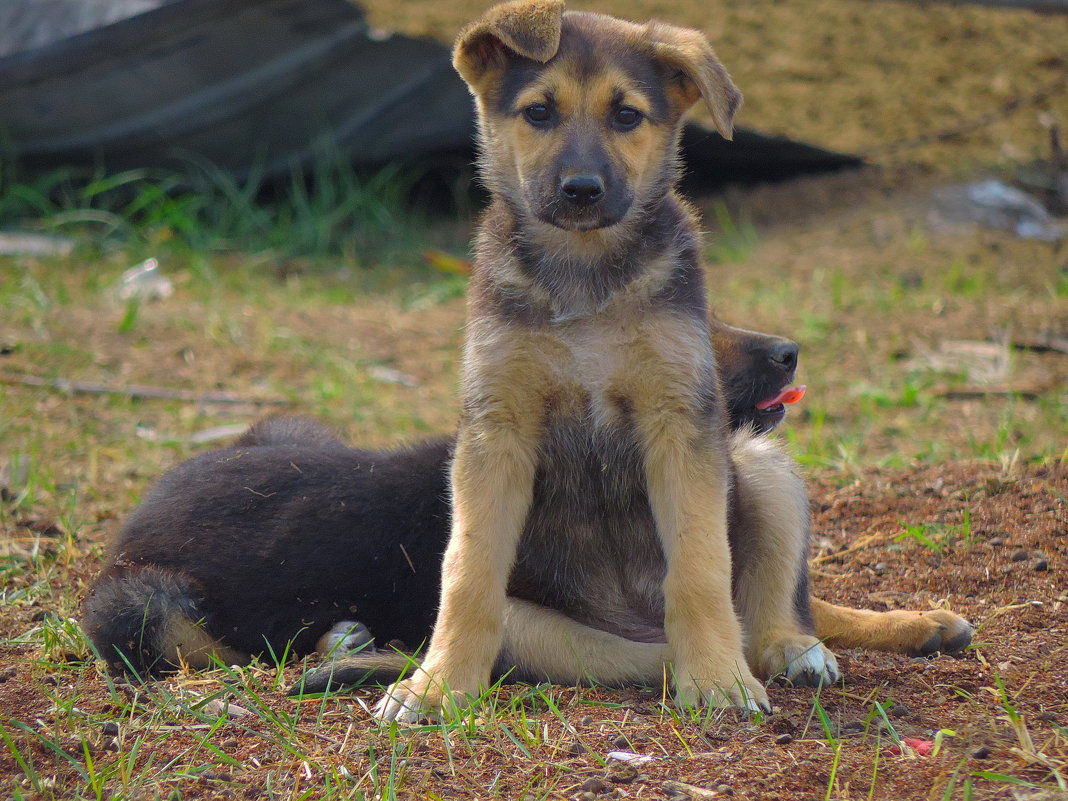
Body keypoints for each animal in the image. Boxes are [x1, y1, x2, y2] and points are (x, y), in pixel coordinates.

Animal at [375, 1, 786, 721]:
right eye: (539, 111)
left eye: (626, 116)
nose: (582, 191)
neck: (584, 273)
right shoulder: (497, 427)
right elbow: (467, 572)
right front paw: (438, 686)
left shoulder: (681, 423)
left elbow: (701, 568)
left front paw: (718, 679)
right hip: (541, 627)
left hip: (767, 468)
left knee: (773, 614)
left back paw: (792, 653)